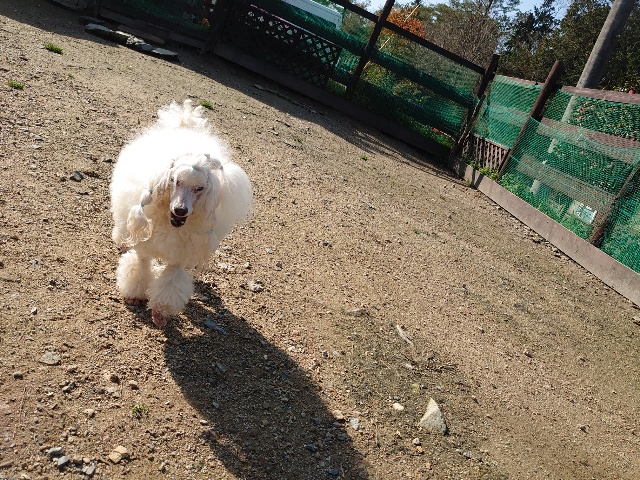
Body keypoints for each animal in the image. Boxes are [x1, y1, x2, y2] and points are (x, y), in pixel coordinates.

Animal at [109, 100, 252, 326]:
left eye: (200, 188)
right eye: (174, 181)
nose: (180, 210)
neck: (170, 225)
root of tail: (184, 124)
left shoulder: (179, 256)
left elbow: (171, 283)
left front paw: (160, 313)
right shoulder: (144, 246)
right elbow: (140, 266)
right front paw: (134, 295)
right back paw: (122, 242)